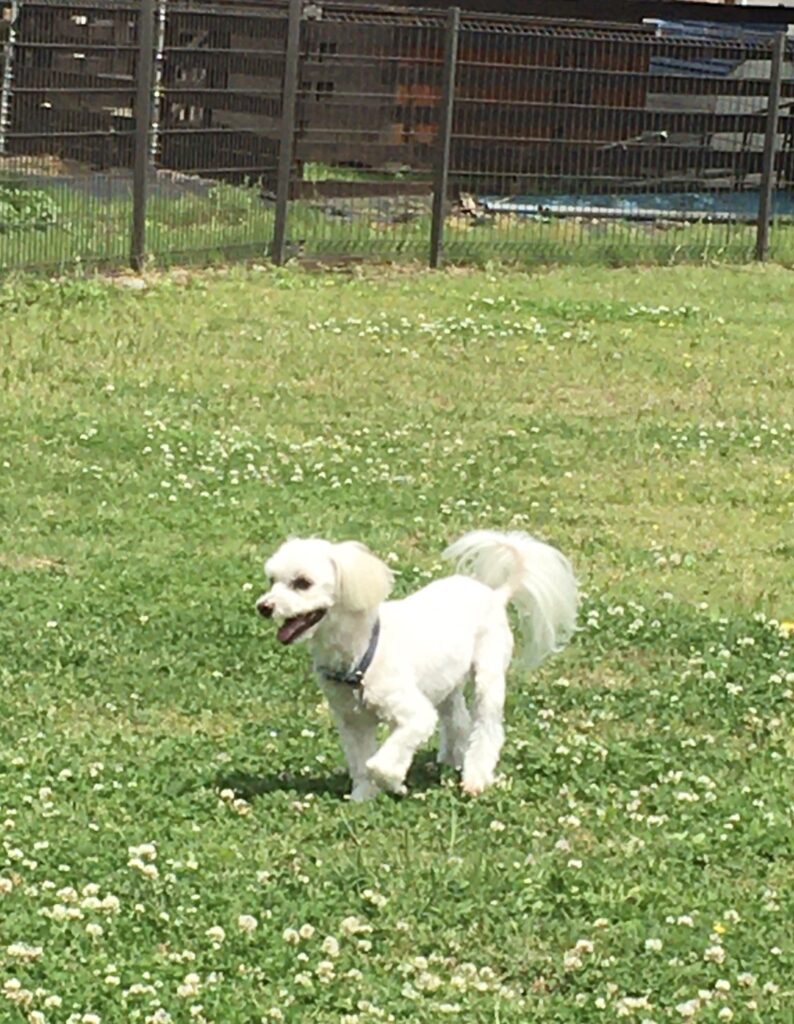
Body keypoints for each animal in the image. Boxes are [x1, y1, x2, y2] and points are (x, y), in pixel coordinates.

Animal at [256, 530, 578, 800]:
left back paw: (475, 777)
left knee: (487, 728)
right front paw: (363, 797)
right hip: (446, 680)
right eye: (272, 580)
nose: (264, 607)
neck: (360, 652)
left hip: (488, 673)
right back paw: (451, 758)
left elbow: (379, 763)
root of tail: (496, 594)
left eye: (302, 583)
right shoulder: (352, 721)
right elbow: (361, 764)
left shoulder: (413, 715)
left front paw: (394, 782)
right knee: (457, 719)